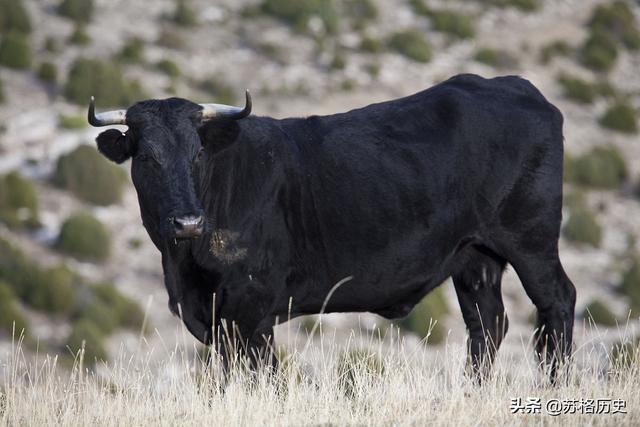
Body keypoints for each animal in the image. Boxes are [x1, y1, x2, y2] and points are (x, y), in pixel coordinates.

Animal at [89, 75, 576, 380]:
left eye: (197, 154)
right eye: (147, 157)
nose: (187, 221)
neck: (184, 265)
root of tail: (515, 86)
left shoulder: (251, 308)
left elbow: (262, 375)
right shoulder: (216, 316)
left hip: (531, 239)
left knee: (557, 301)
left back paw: (556, 385)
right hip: (475, 256)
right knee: (487, 325)